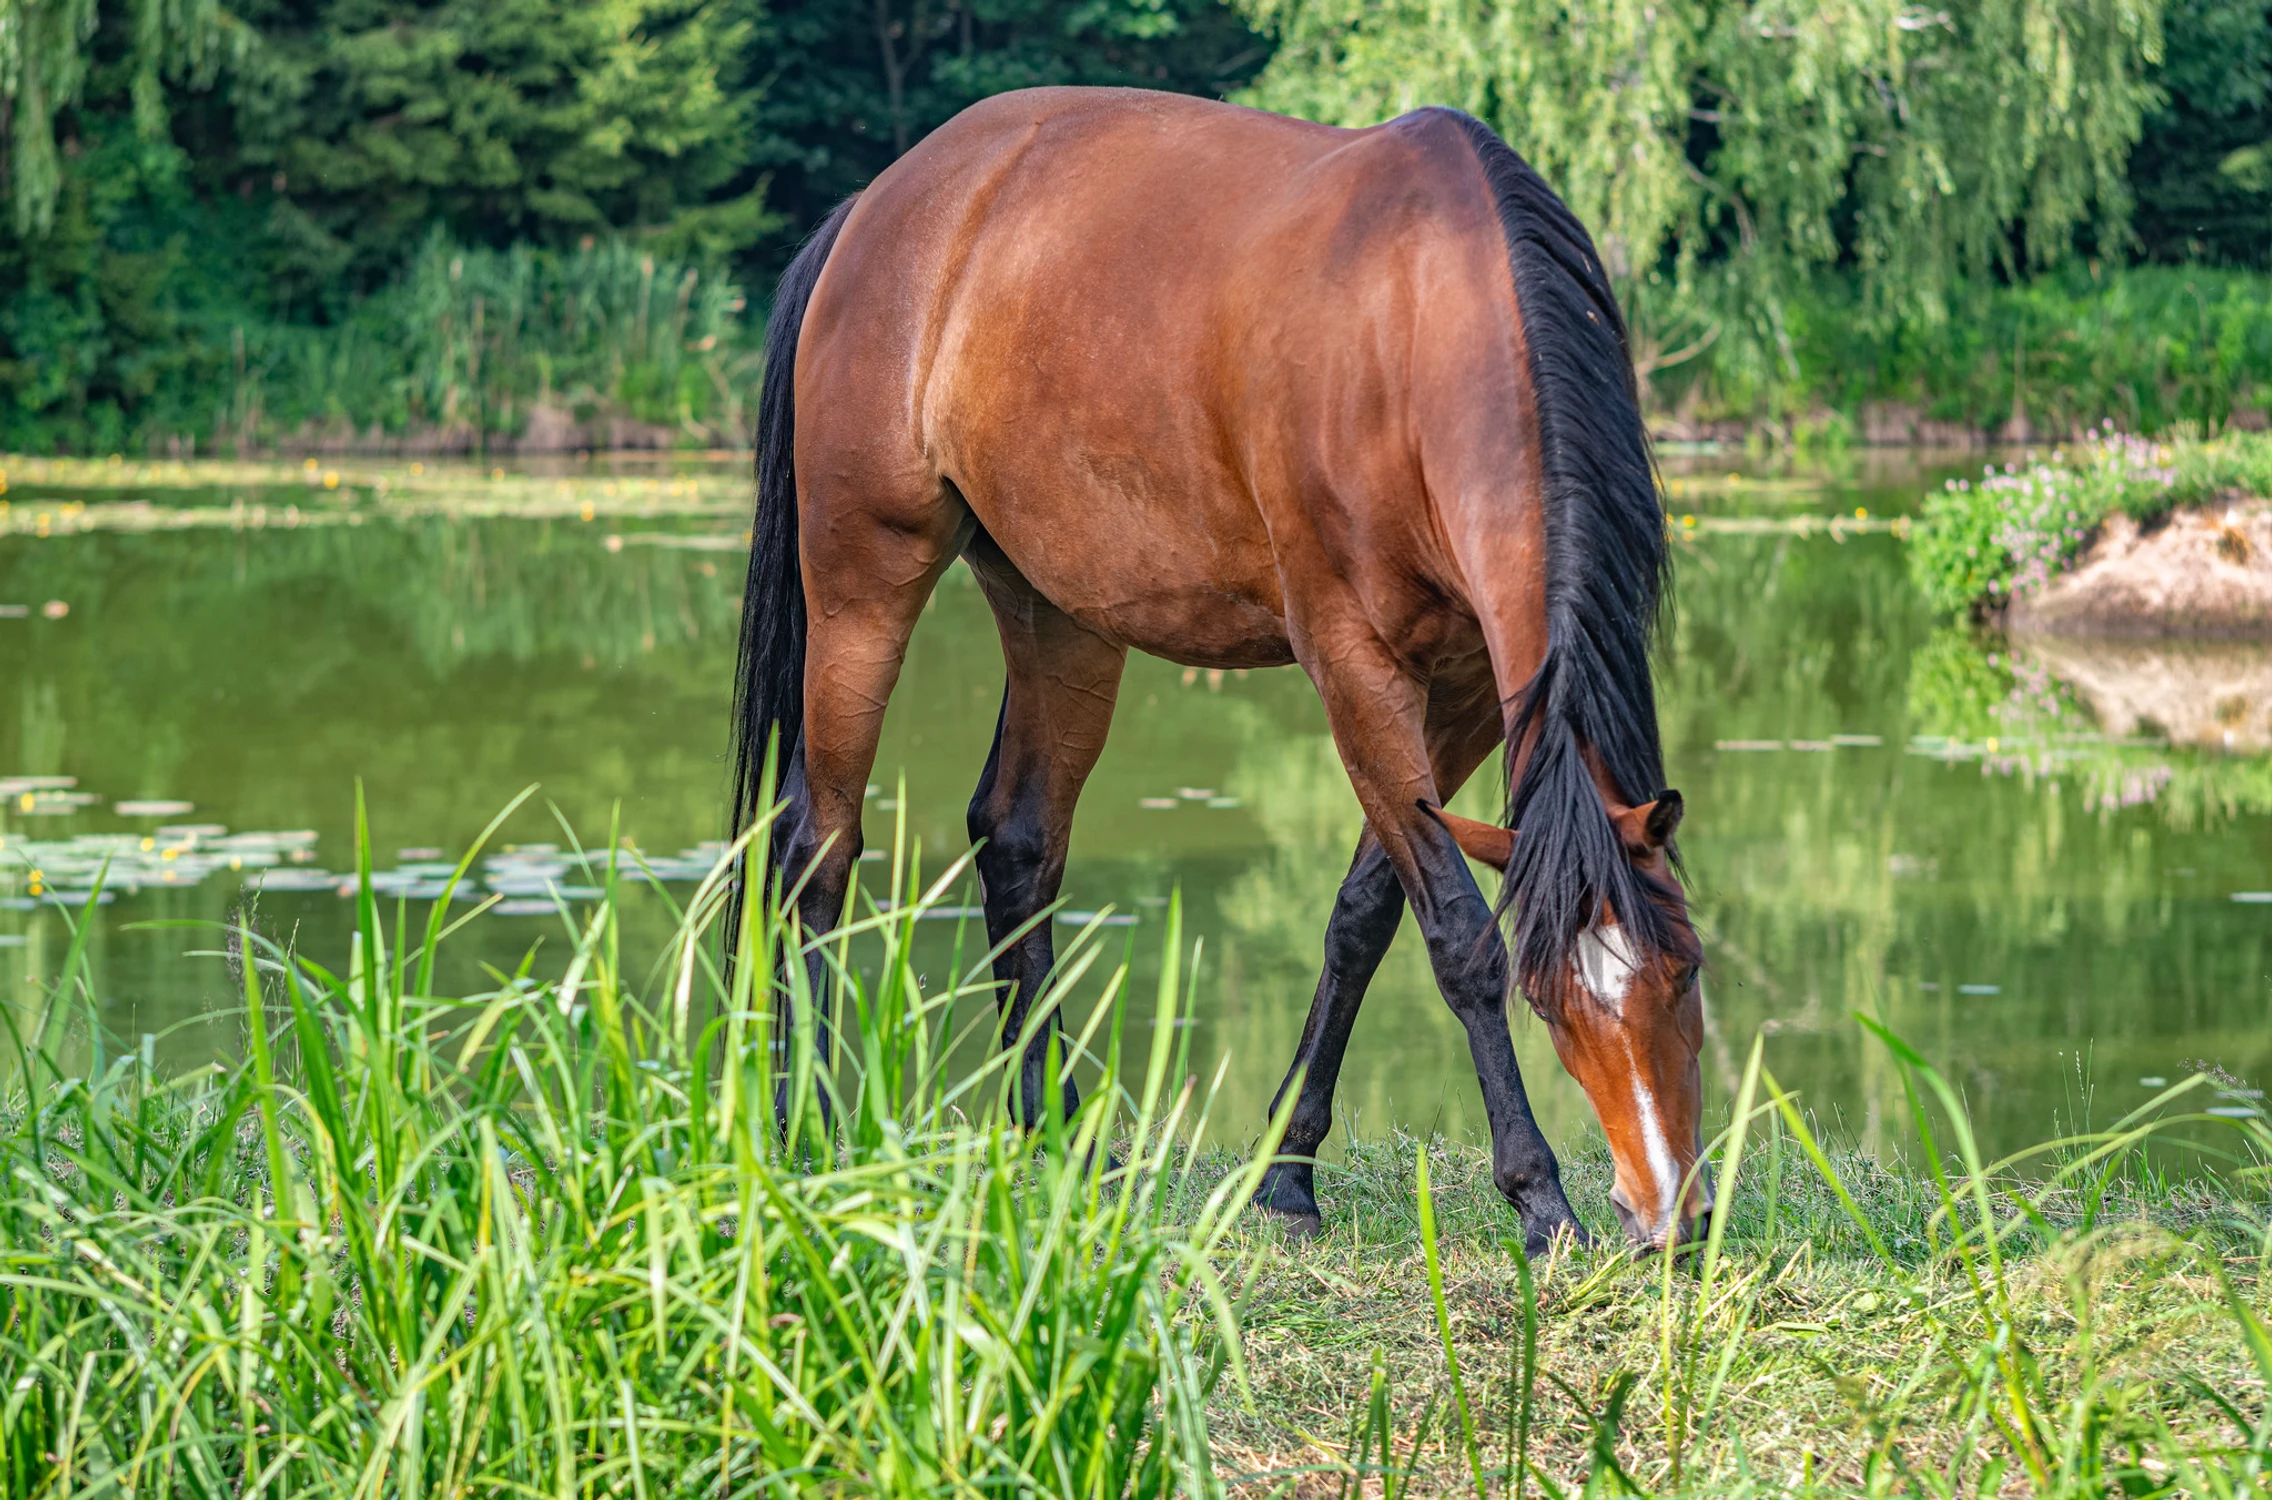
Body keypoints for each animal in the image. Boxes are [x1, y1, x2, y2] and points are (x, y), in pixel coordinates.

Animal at [736, 85, 1708, 1254]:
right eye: (1553, 1000)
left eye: (1687, 971)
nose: (1669, 1216)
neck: (1421, 324)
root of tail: (880, 208)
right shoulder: (1354, 666)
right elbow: (1455, 934)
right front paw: (1537, 1196)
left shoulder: (1470, 687)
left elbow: (1364, 916)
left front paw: (1286, 1174)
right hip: (861, 584)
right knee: (816, 850)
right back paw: (810, 1130)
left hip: (1060, 616)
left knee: (1016, 844)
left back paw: (1062, 1137)